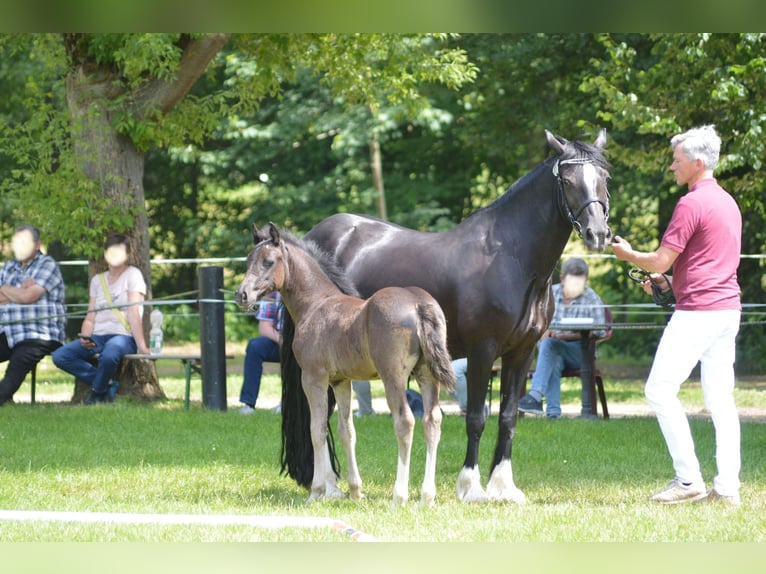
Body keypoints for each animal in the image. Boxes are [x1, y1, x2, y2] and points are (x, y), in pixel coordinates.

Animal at [236, 225, 456, 508]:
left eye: (269, 261)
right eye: (248, 260)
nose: (242, 294)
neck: (315, 304)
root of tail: (418, 304)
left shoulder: (313, 378)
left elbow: (316, 429)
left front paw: (317, 491)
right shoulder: (341, 381)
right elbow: (346, 430)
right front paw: (355, 491)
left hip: (393, 378)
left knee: (405, 421)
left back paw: (399, 496)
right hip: (427, 375)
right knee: (432, 420)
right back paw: (427, 497)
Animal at [282, 128, 612, 502]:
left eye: (604, 178)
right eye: (568, 180)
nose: (598, 234)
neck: (511, 259)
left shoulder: (521, 352)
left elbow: (508, 417)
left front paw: (503, 487)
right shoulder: (484, 351)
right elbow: (476, 418)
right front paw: (470, 487)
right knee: (319, 417)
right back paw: (326, 486)